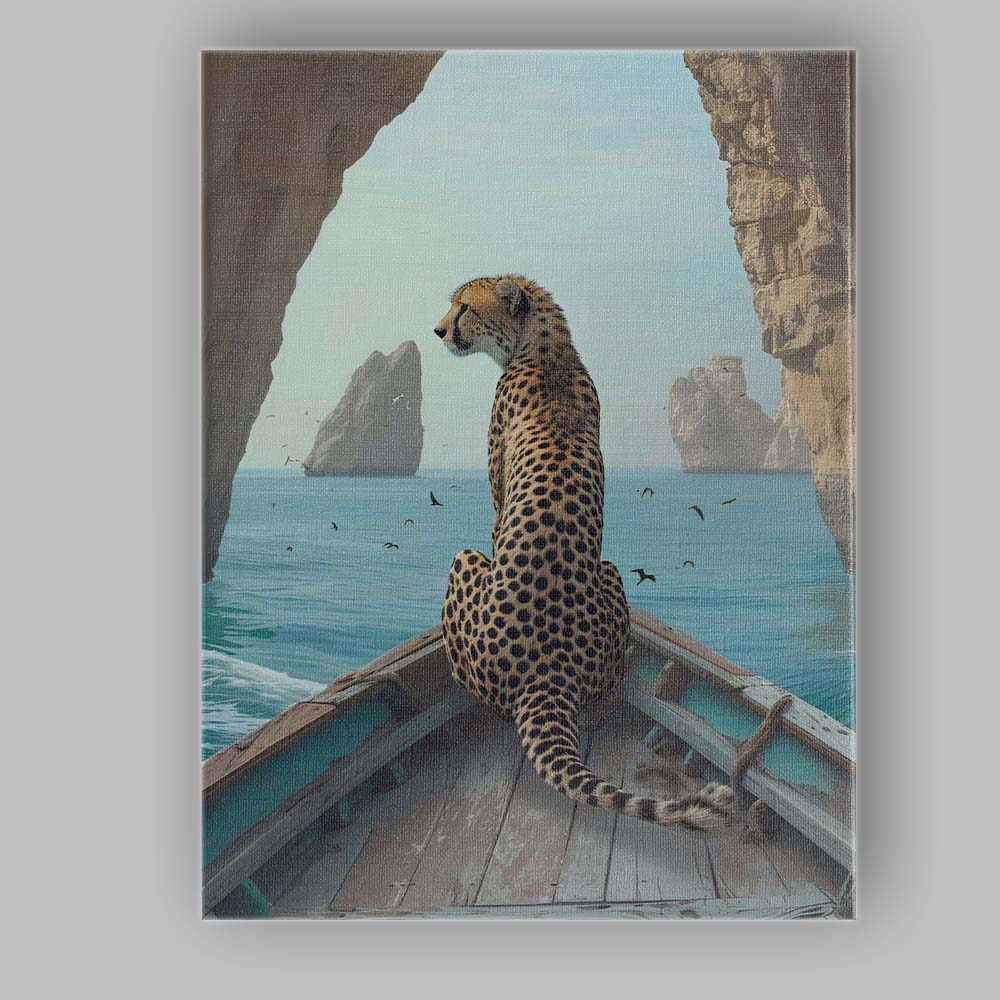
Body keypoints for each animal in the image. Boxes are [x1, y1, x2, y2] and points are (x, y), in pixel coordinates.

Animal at [434, 274, 733, 831]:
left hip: (465, 563)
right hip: (610, 572)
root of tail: (548, 670)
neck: (545, 349)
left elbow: (494, 520)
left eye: (464, 306)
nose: (439, 330)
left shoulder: (496, 500)